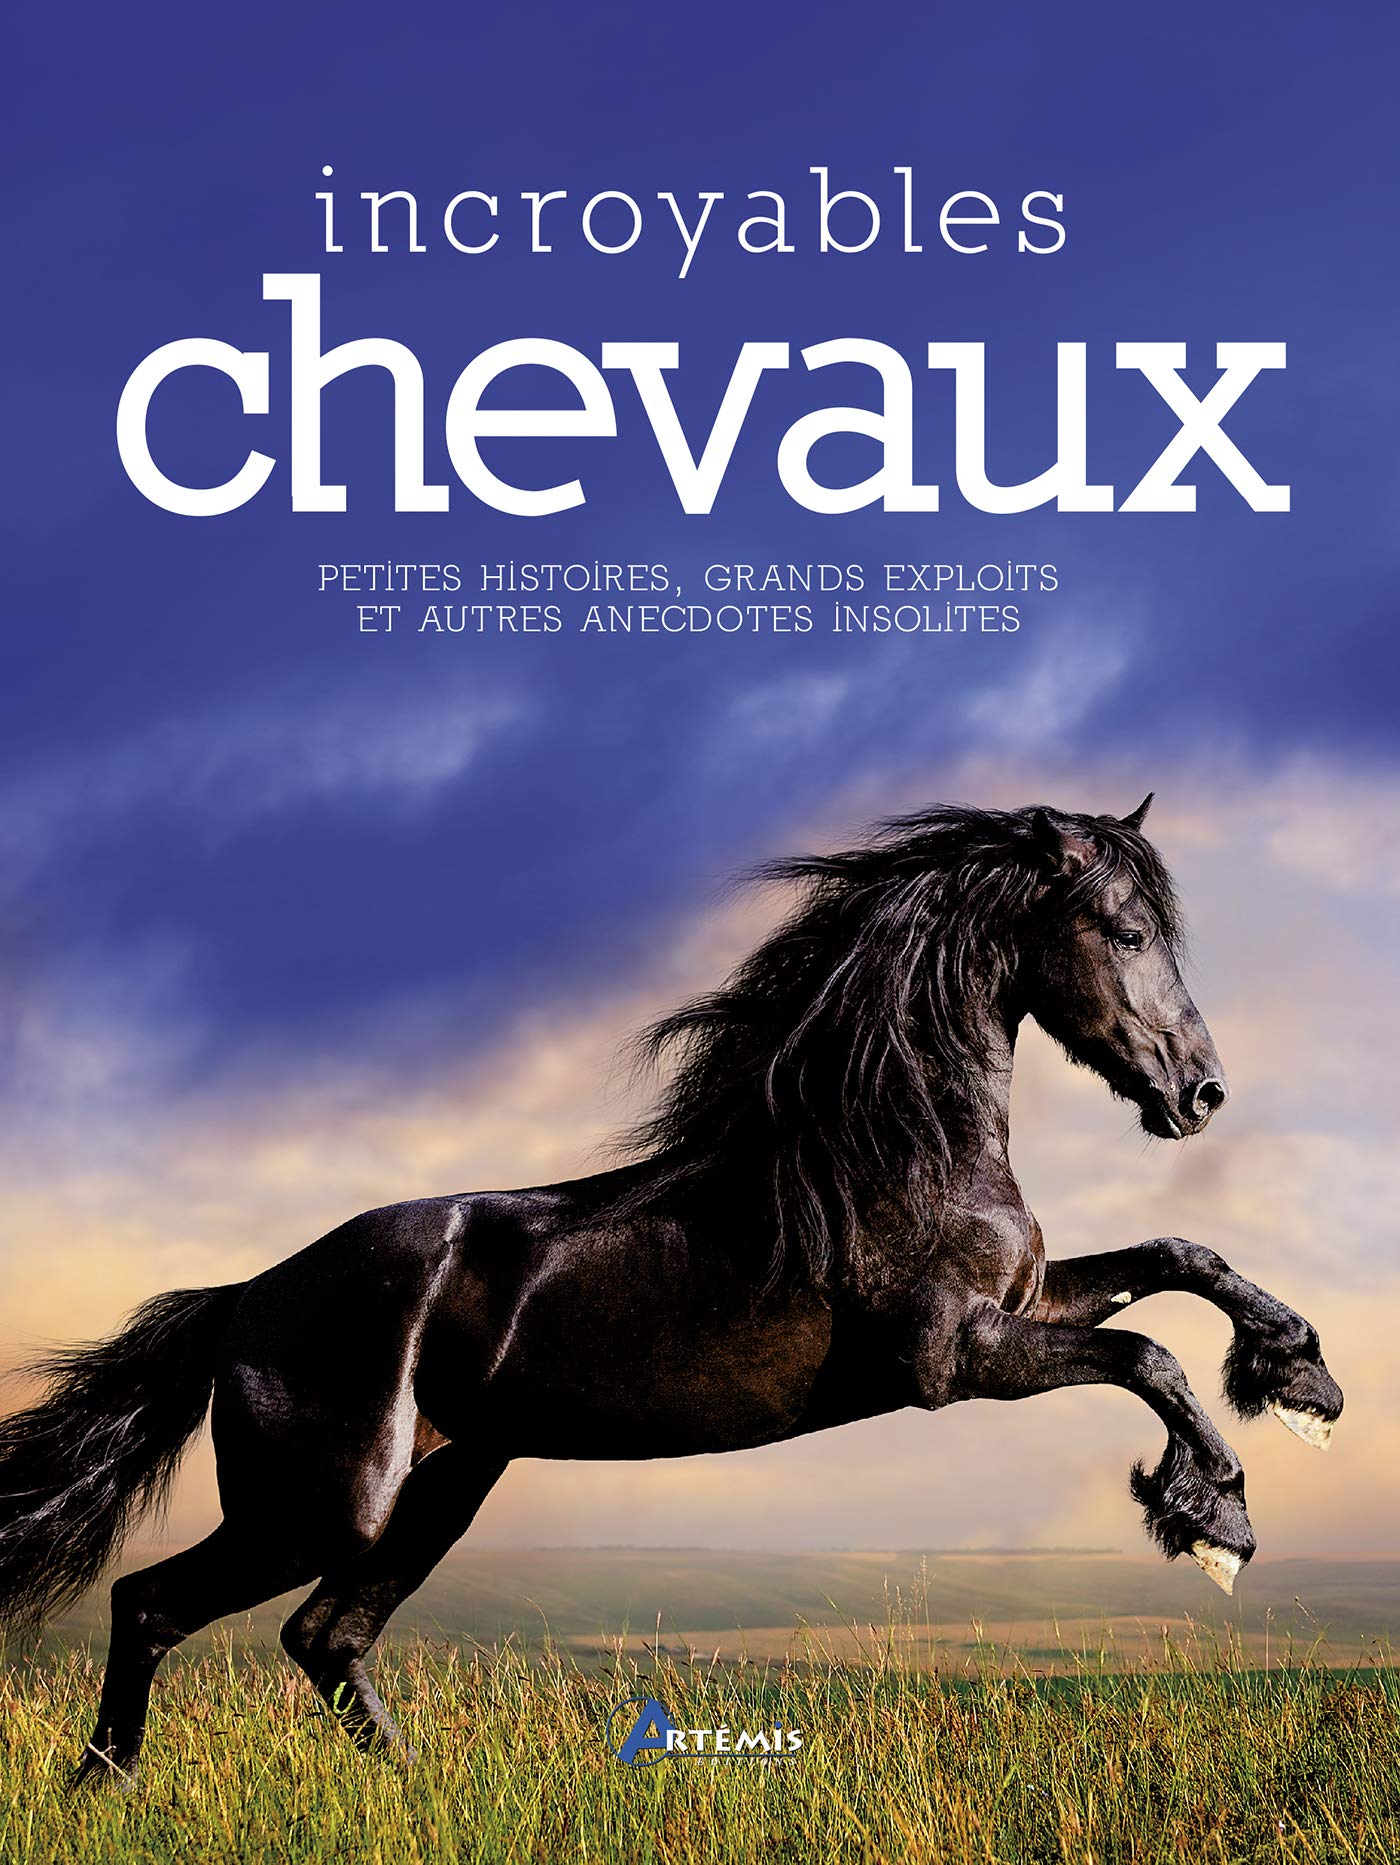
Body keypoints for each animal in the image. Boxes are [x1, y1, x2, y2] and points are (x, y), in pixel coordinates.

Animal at [0, 796, 1342, 1789]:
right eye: (1125, 932)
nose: (1201, 1093)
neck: (891, 1146)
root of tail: (245, 1297)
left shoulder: (1024, 1301)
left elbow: (1176, 1260)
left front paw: (1302, 1380)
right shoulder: (951, 1359)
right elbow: (1147, 1356)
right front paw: (1211, 1519)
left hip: (443, 1484)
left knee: (323, 1636)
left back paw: (422, 1787)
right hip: (324, 1502)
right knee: (152, 1601)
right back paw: (104, 1789)